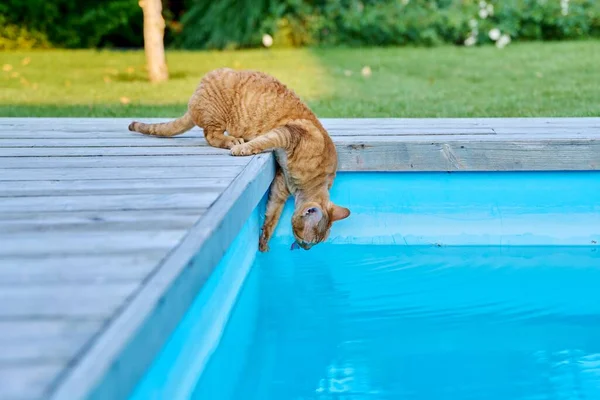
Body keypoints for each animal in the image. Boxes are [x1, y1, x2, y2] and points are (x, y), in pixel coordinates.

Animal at [129, 68, 350, 250]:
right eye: (306, 242)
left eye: (312, 245)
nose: (305, 250)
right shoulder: (287, 133)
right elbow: (263, 141)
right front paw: (243, 148)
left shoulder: (280, 185)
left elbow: (272, 216)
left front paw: (264, 240)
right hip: (216, 114)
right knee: (211, 135)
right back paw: (233, 141)